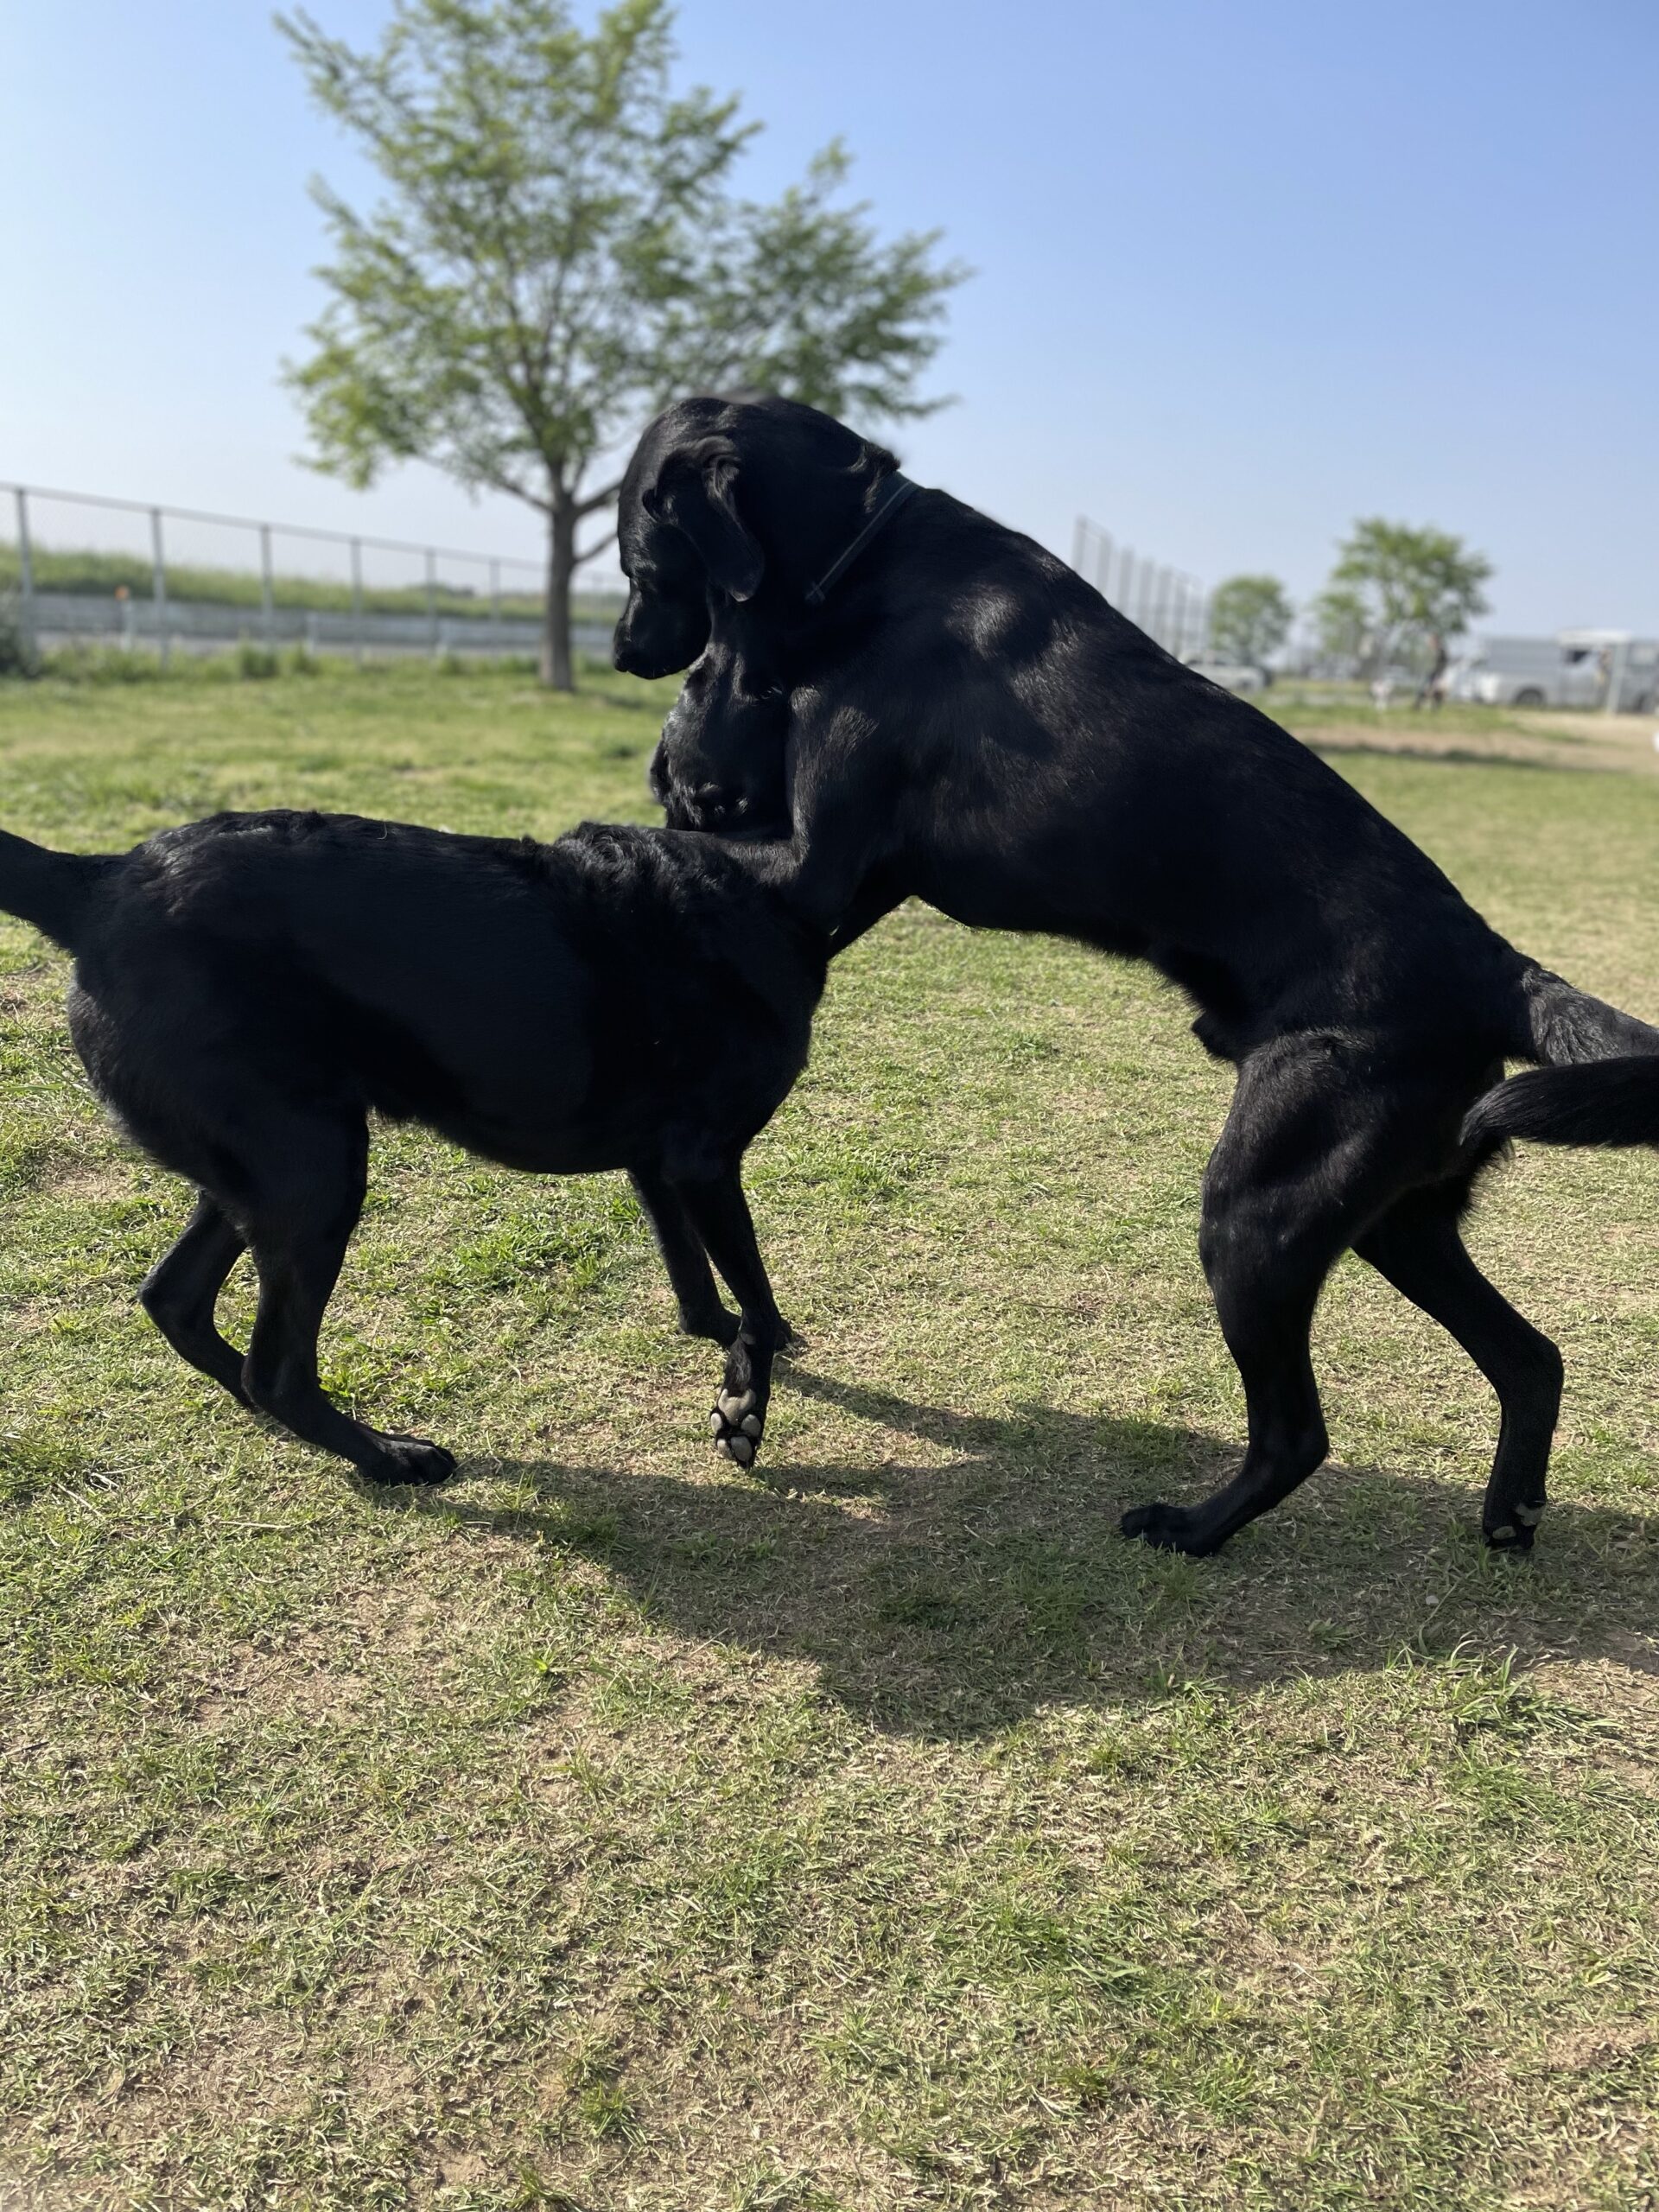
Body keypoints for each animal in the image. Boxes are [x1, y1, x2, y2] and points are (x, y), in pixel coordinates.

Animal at [0, 809, 824, 1481]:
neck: (766, 891)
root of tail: (99, 882)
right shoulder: (705, 1162)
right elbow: (752, 1291)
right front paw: (745, 1399)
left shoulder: (660, 1163)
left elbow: (693, 1273)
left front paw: (720, 1339)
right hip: (315, 1176)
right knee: (277, 1372)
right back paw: (387, 1455)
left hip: (261, 1172)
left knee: (175, 1300)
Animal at [615, 391, 1659, 1559]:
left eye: (634, 554)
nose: (624, 652)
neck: (865, 559)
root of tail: (1497, 966)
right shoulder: (853, 884)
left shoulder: (816, 859)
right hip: (1397, 1219)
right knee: (1530, 1356)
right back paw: (1510, 1509)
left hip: (1260, 1213)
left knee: (1297, 1432)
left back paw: (1193, 1526)